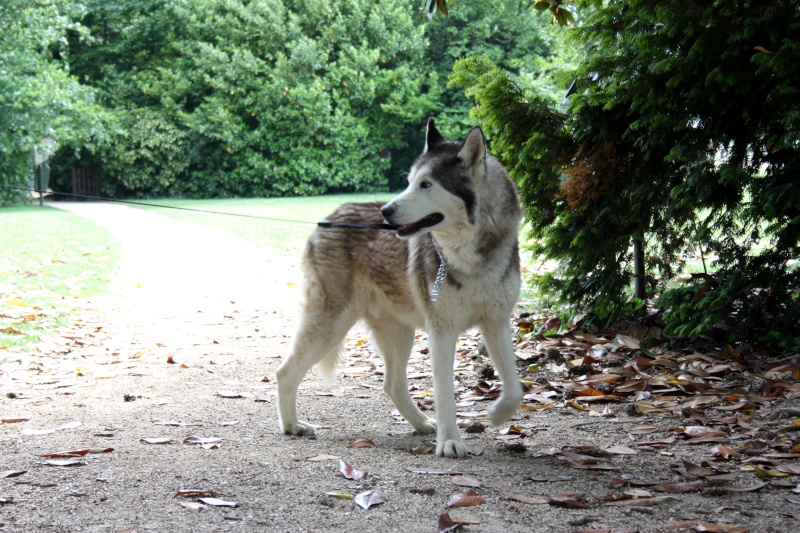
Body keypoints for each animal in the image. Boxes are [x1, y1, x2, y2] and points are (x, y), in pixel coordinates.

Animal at [276, 119, 524, 458]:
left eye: (426, 184)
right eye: (409, 182)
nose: (385, 211)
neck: (472, 257)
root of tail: (327, 219)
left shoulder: (497, 323)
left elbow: (515, 387)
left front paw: (498, 415)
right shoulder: (441, 332)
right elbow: (444, 393)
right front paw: (449, 441)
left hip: (398, 332)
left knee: (392, 384)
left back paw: (420, 424)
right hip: (331, 326)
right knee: (284, 372)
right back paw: (292, 426)